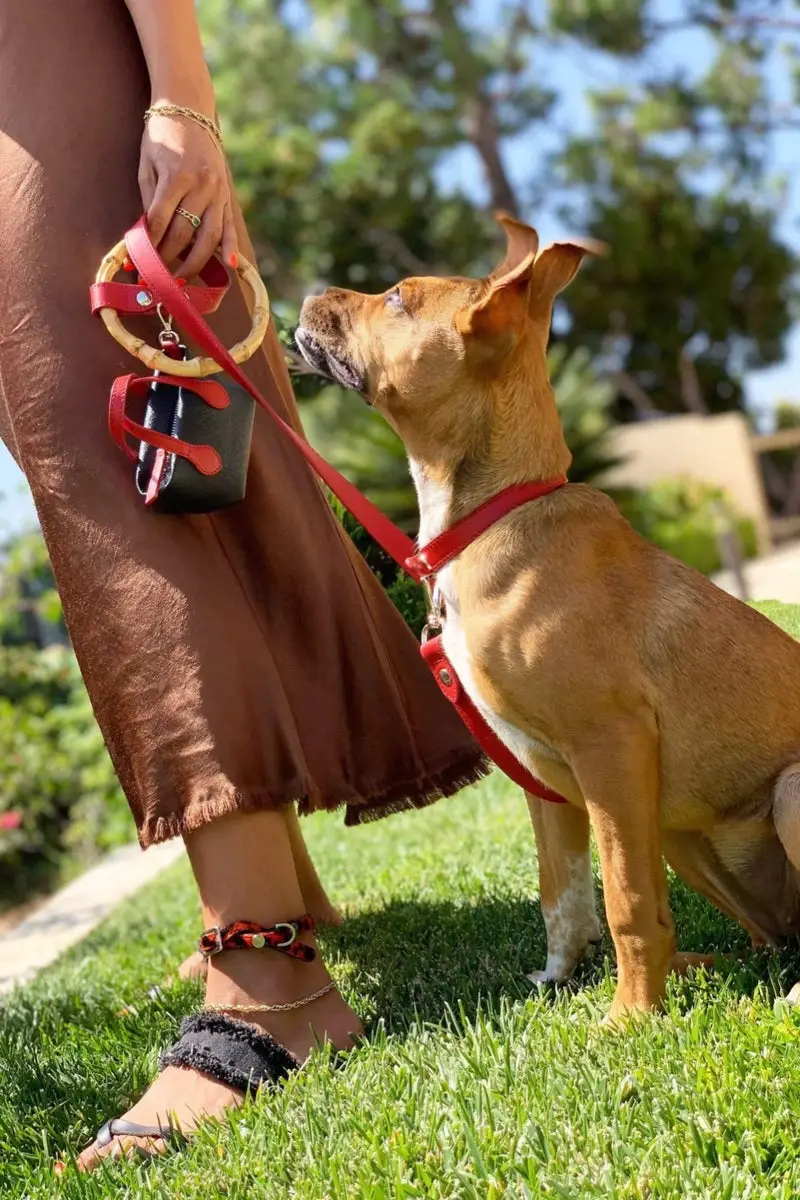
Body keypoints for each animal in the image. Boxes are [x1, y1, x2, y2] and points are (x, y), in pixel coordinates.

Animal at [297, 216, 800, 1022]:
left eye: (398, 296)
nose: (309, 290)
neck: (493, 520)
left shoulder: (611, 747)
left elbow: (626, 901)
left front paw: (627, 1019)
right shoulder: (545, 777)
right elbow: (561, 893)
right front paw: (559, 984)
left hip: (775, 792)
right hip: (679, 828)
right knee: (768, 936)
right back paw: (705, 968)